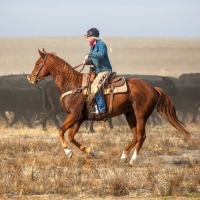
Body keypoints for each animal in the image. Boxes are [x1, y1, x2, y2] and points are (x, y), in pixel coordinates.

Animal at [27, 48, 191, 166]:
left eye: (37, 63)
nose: (30, 77)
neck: (73, 85)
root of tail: (153, 88)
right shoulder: (79, 118)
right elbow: (70, 136)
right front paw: (90, 151)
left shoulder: (73, 115)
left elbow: (61, 131)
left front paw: (68, 153)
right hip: (130, 114)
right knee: (136, 135)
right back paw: (124, 156)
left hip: (140, 115)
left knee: (141, 136)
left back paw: (132, 160)